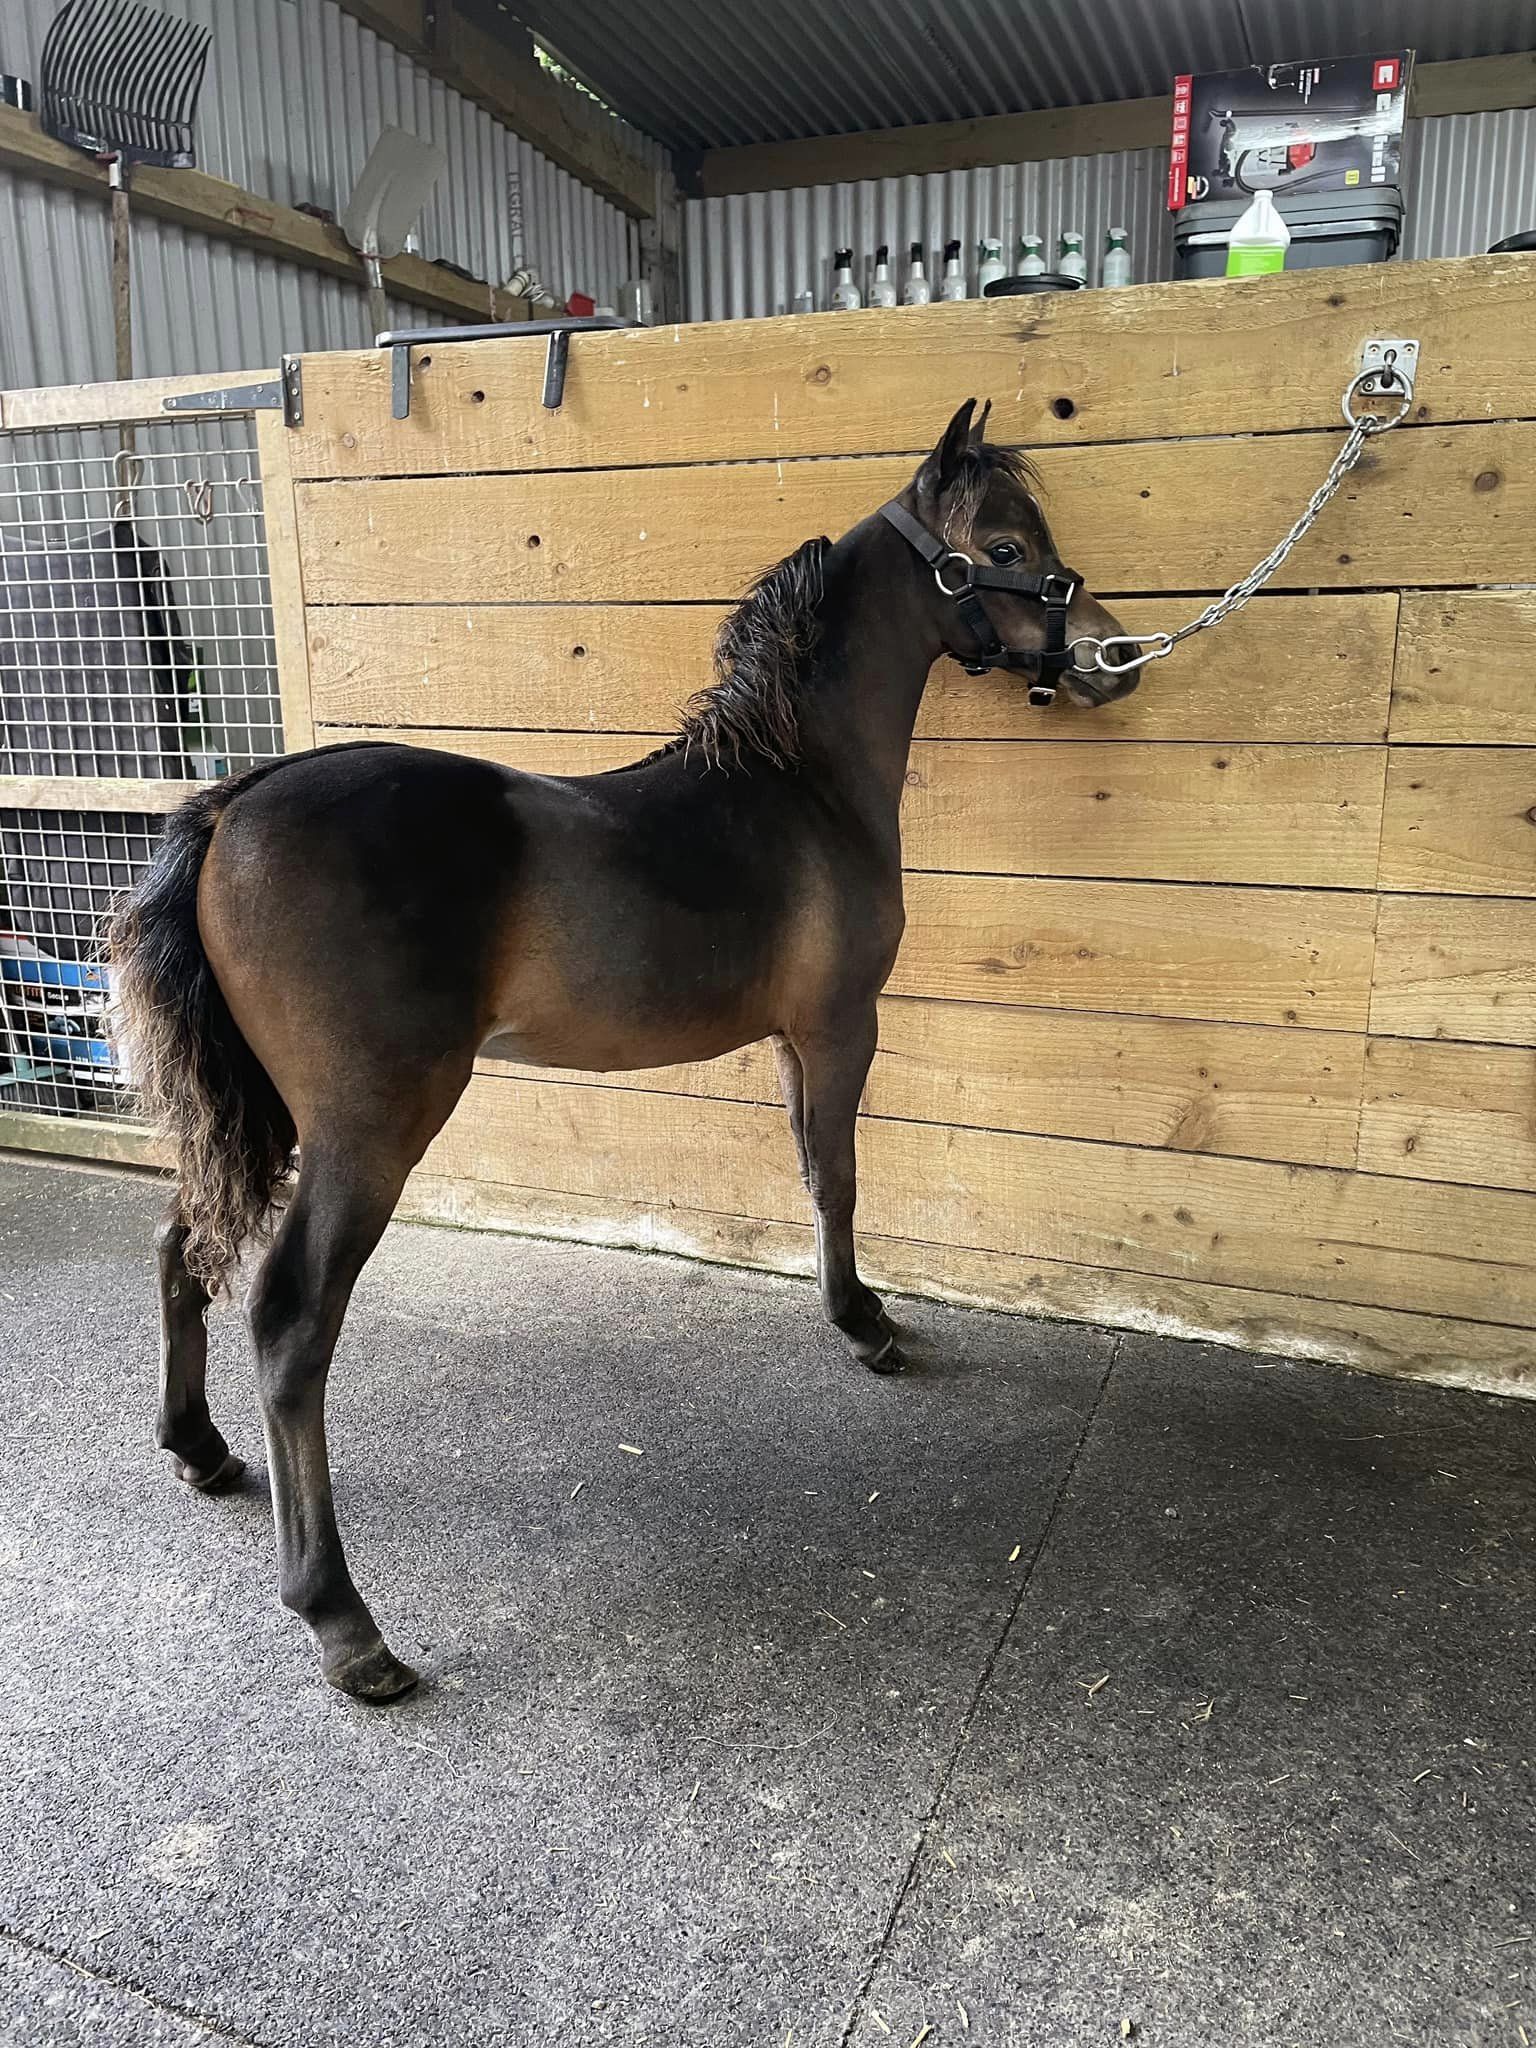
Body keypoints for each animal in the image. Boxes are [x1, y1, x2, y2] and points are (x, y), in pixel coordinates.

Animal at [110, 398, 1135, 1700]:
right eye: (1002, 545)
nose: (1109, 654)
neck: (797, 786)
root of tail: (231, 804)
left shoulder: (790, 1040)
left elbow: (813, 1173)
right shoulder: (841, 1025)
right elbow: (843, 1177)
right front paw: (868, 1327)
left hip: (258, 1118)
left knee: (180, 1243)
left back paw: (199, 1451)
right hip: (367, 1129)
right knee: (290, 1323)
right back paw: (345, 1621)